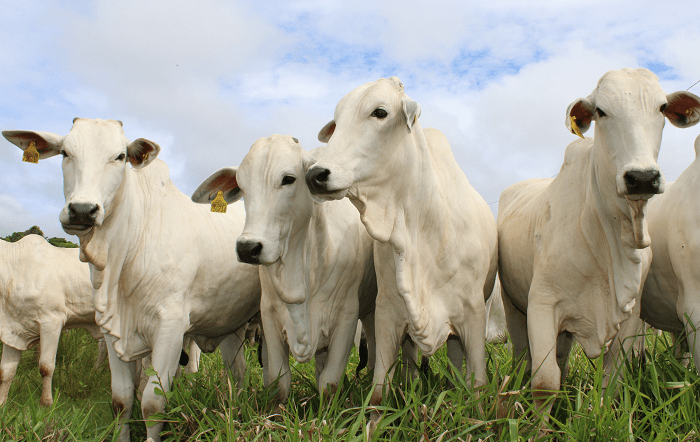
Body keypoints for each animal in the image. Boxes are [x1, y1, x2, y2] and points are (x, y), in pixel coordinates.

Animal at [0, 234, 103, 406]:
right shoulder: (15, 329)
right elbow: (6, 372)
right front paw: (2, 403)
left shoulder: (51, 322)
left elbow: (46, 366)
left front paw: (46, 402)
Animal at [191, 135, 377, 402]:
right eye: (242, 186)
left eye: (288, 179)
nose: (248, 248)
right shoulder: (269, 315)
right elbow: (279, 382)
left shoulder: (346, 317)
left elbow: (329, 383)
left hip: (370, 314)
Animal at [304, 77, 498, 422]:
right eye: (336, 123)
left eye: (380, 112)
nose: (316, 175)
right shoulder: (387, 314)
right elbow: (379, 390)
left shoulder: (473, 314)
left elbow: (477, 385)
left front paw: (476, 417)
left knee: (456, 361)